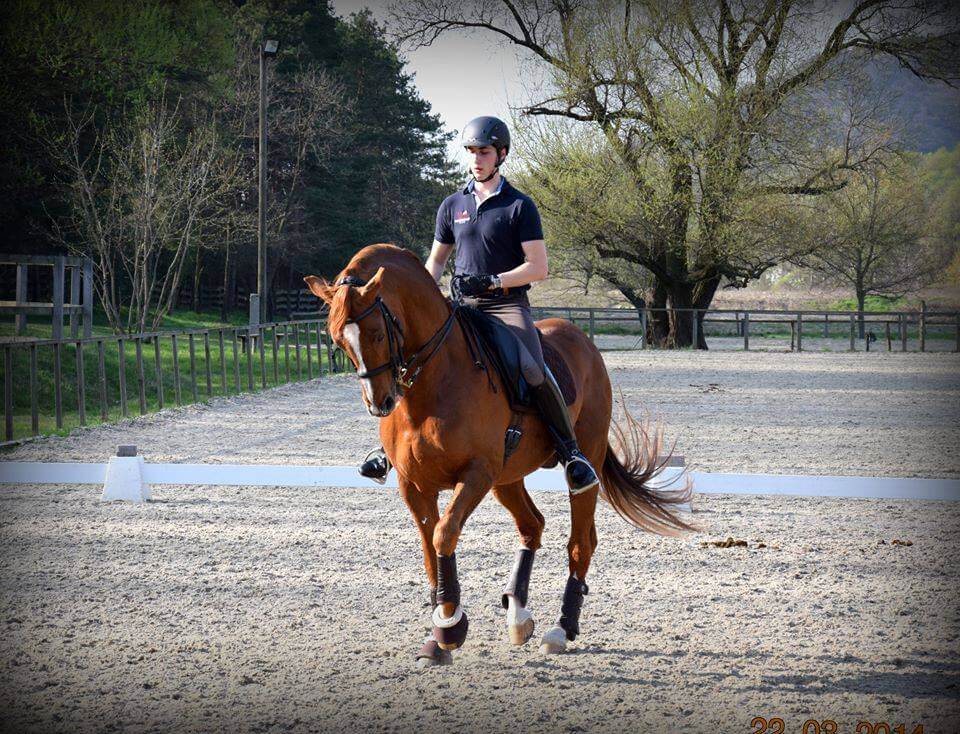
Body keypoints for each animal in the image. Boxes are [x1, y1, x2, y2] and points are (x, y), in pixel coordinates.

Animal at [308, 247, 688, 668]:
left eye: (376, 333)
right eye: (338, 340)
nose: (381, 403)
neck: (432, 386)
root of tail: (580, 338)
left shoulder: (475, 475)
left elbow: (444, 534)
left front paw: (450, 626)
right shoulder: (414, 485)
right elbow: (429, 547)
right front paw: (438, 633)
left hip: (578, 457)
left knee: (580, 542)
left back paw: (561, 629)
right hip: (507, 478)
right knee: (532, 525)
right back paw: (518, 612)